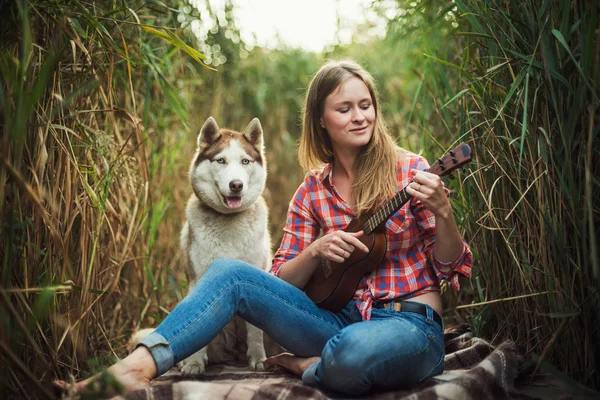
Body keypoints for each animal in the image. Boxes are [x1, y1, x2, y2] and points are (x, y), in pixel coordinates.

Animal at [178, 116, 272, 376]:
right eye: (221, 160)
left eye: (245, 161)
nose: (236, 185)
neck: (230, 222)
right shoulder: (199, 277)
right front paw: (193, 363)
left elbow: (255, 329)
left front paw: (258, 358)